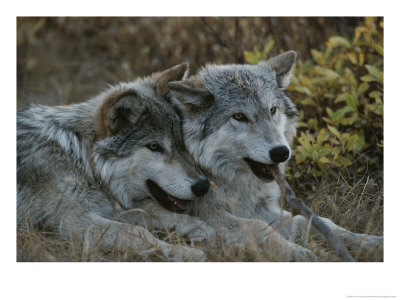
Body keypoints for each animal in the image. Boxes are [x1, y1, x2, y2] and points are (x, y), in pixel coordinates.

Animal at [17, 62, 214, 260]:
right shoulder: (73, 221)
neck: (82, 160)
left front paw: (202, 228)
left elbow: (155, 210)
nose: (203, 186)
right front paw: (185, 253)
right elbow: (137, 232)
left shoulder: (110, 205)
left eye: (181, 142)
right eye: (154, 146)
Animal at [167, 51, 382, 260]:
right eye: (239, 116)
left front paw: (369, 242)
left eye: (273, 110)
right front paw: (296, 252)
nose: (281, 153)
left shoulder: (261, 208)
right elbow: (258, 226)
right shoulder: (209, 214)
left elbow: (312, 222)